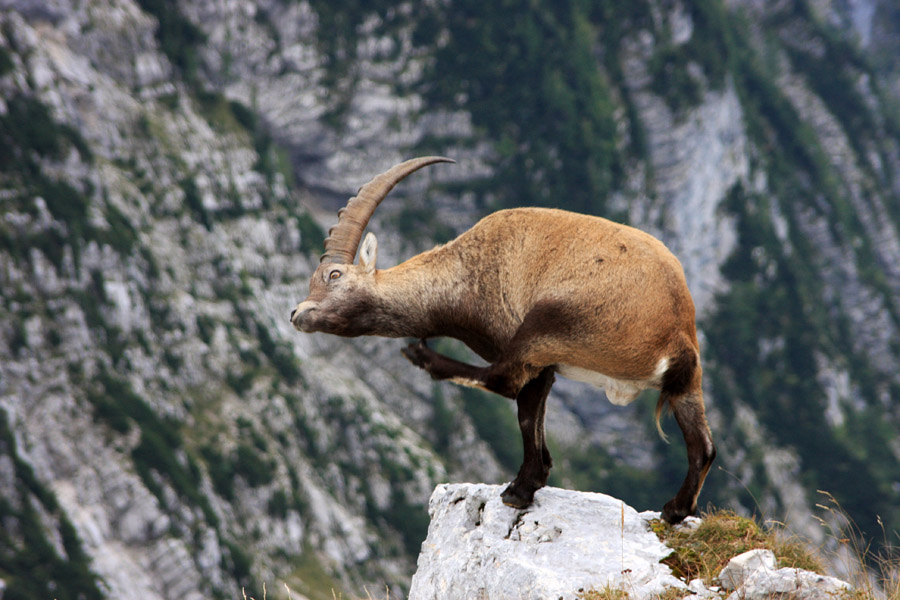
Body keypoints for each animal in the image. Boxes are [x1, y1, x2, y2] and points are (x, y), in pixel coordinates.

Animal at [290, 156, 716, 524]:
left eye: (333, 275)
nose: (297, 313)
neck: (463, 275)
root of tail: (674, 331)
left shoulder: (532, 349)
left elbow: (524, 410)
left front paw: (520, 490)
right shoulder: (548, 366)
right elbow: (535, 418)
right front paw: (535, 477)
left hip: (549, 319)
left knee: (501, 378)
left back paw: (423, 356)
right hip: (685, 381)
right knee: (703, 446)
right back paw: (676, 510)